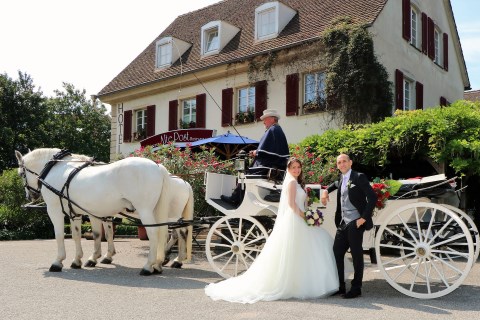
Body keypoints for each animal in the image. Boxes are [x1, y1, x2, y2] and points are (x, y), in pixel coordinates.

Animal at [14, 148, 193, 276]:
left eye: (21, 174)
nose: (30, 195)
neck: (58, 169)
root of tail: (159, 167)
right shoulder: (78, 212)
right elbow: (84, 235)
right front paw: (81, 260)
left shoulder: (55, 210)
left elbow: (60, 235)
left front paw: (58, 262)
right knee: (170, 233)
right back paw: (162, 263)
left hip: (149, 211)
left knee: (162, 234)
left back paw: (151, 265)